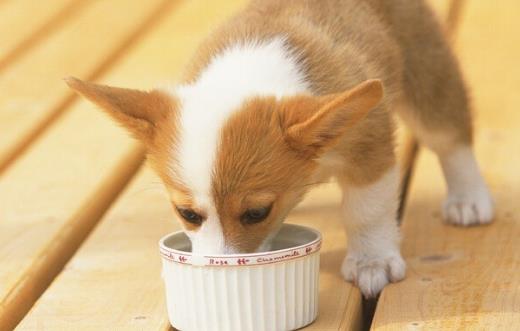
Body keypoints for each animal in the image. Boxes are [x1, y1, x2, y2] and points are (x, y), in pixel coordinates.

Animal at [67, 0, 494, 298]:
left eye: (257, 213)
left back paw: (468, 199)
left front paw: (371, 261)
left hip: (426, 73)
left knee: (449, 136)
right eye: (187, 214)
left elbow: (366, 212)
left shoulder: (369, 150)